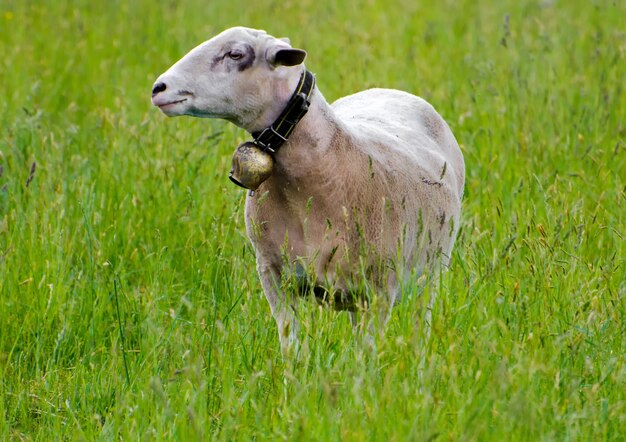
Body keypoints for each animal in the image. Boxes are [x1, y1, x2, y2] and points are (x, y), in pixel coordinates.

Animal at [151, 25, 464, 354]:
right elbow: (291, 343)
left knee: (421, 324)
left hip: (432, 271)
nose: (158, 88)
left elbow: (365, 353)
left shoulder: (379, 288)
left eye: (235, 54)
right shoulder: (274, 274)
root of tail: (392, 91)